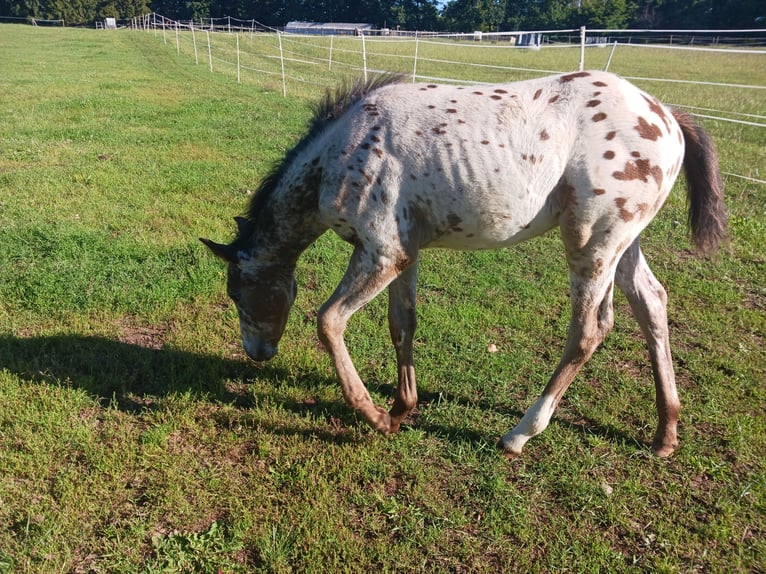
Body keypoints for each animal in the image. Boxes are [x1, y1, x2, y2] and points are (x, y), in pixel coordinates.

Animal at [201, 71, 728, 460]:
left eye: (237, 292)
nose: (257, 353)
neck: (343, 152)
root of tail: (666, 114)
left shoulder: (381, 252)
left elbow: (329, 321)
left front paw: (373, 416)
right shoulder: (404, 252)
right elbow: (402, 324)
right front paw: (401, 409)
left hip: (591, 241)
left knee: (590, 330)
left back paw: (519, 434)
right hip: (624, 242)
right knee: (652, 304)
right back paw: (665, 434)